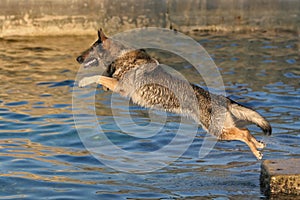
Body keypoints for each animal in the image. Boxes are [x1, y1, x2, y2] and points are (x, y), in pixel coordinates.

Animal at [77, 28, 272, 159]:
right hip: (223, 128)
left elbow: (97, 77)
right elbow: (103, 77)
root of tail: (222, 98)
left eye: (90, 49)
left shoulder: (121, 87)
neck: (119, 56)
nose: (77, 58)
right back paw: (259, 145)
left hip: (217, 131)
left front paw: (83, 81)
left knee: (243, 133)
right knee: (246, 130)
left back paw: (256, 151)